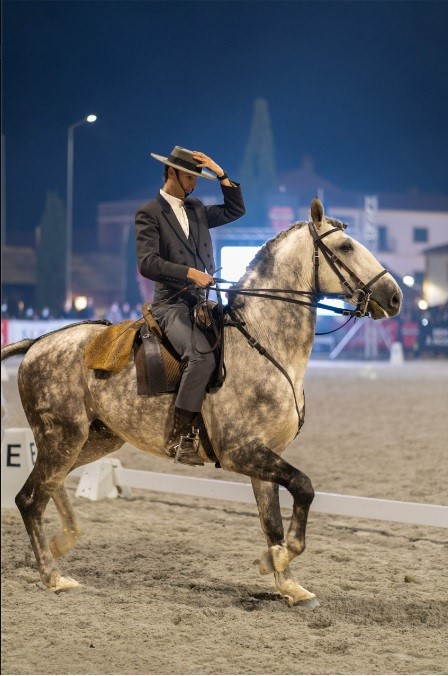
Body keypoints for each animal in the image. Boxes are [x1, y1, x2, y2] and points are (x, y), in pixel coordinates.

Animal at [0, 198, 400, 604]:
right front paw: (276, 561)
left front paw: (287, 582)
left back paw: (64, 541)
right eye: (346, 247)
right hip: (62, 437)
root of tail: (37, 343)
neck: (265, 345)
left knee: (53, 484)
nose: (394, 296)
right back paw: (53, 576)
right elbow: (304, 487)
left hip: (95, 438)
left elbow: (272, 521)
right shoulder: (240, 451)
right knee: (29, 498)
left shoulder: (264, 456)